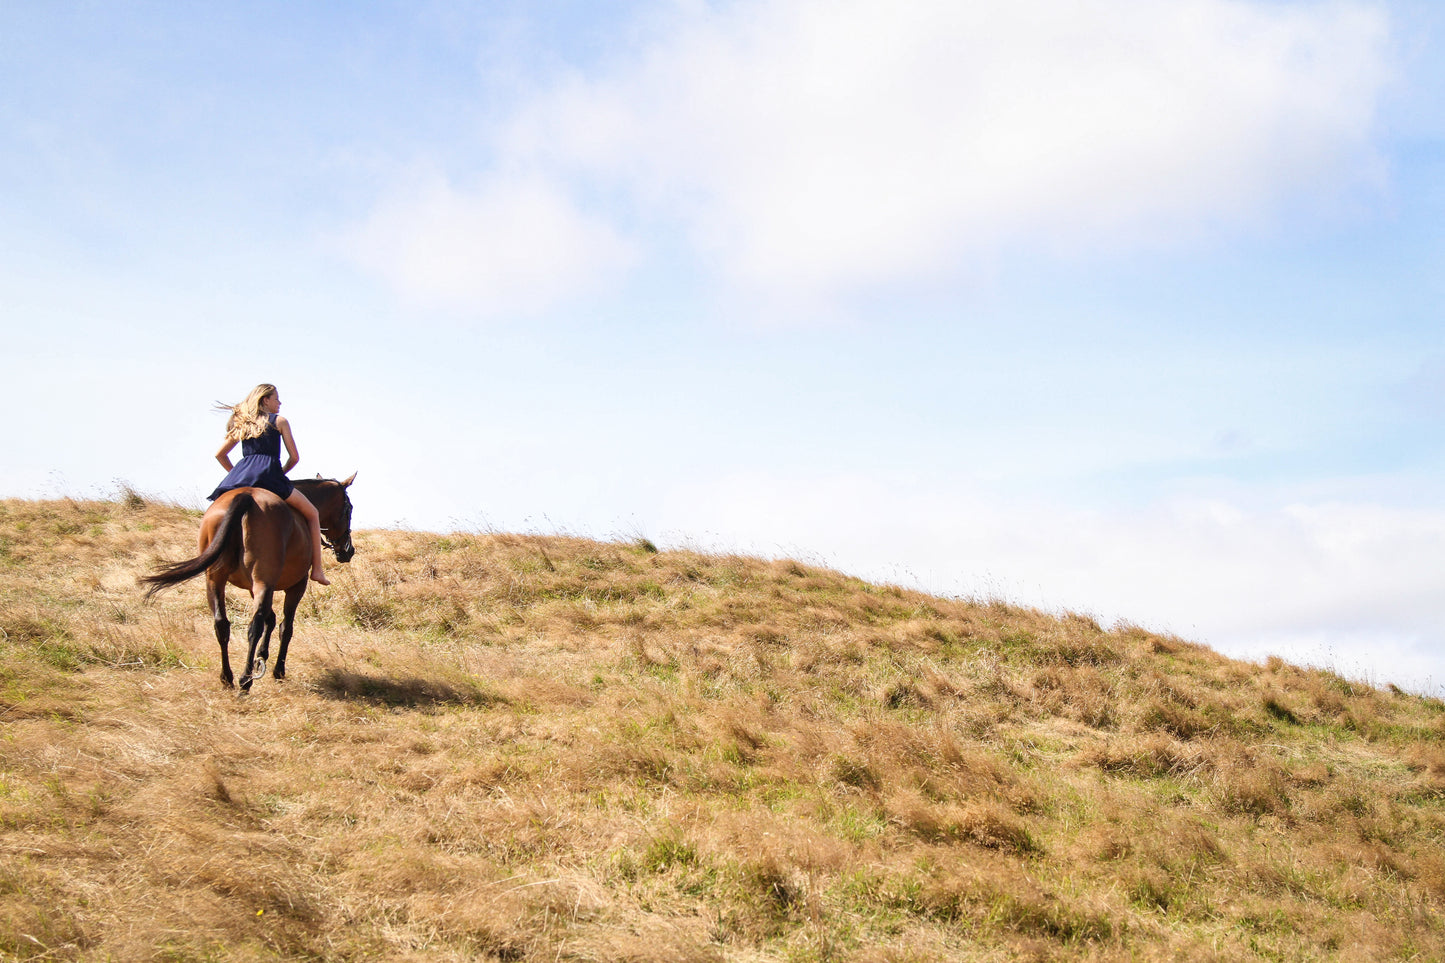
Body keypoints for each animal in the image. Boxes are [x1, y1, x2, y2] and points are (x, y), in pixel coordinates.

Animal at [142, 471, 356, 682]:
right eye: (349, 509)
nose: (349, 551)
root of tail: (247, 497)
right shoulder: (296, 585)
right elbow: (285, 627)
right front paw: (278, 670)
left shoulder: (257, 586)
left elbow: (271, 618)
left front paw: (261, 656)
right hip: (262, 581)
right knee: (255, 626)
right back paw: (245, 680)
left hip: (215, 579)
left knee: (222, 624)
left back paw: (227, 677)